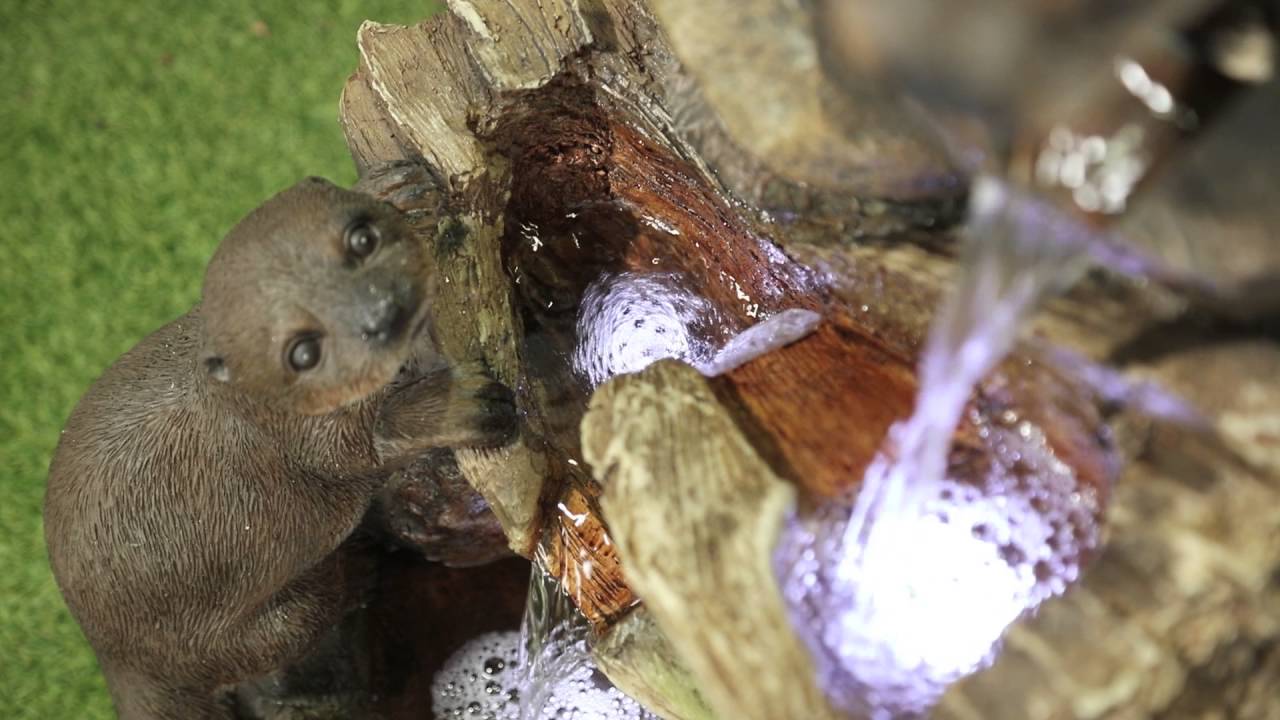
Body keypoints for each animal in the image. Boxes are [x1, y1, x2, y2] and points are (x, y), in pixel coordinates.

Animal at [44, 166, 514, 719]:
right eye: (304, 352)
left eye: (362, 238)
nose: (383, 313)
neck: (251, 400)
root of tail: (115, 662)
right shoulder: (306, 437)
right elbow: (362, 449)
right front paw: (458, 404)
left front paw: (395, 191)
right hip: (228, 638)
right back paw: (353, 573)